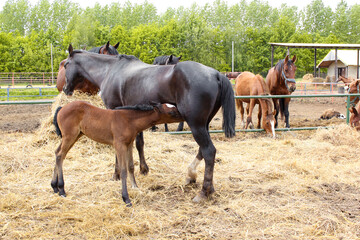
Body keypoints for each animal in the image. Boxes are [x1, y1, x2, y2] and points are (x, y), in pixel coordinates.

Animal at [51, 101, 183, 206]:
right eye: (171, 112)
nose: (185, 115)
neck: (129, 120)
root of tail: (62, 108)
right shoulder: (120, 145)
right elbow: (123, 170)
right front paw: (126, 198)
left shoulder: (129, 144)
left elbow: (131, 166)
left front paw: (135, 187)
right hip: (70, 136)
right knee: (60, 155)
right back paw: (61, 189)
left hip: (75, 136)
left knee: (58, 153)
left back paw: (54, 187)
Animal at [62, 45, 236, 202]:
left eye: (65, 64)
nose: (65, 89)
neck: (110, 70)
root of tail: (216, 74)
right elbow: (139, 142)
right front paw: (143, 169)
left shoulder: (112, 110)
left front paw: (116, 174)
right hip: (202, 125)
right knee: (203, 150)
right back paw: (192, 176)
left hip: (196, 125)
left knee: (209, 151)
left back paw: (203, 192)